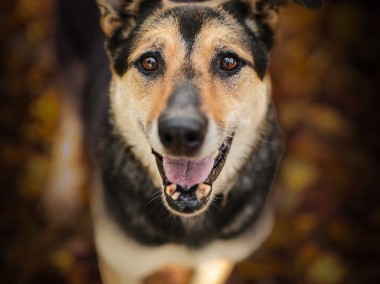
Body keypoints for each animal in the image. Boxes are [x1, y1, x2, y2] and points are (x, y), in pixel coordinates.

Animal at [50, 0, 322, 282]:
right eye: (149, 62)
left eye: (229, 62)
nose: (180, 133)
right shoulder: (120, 265)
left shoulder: (218, 260)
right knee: (67, 126)